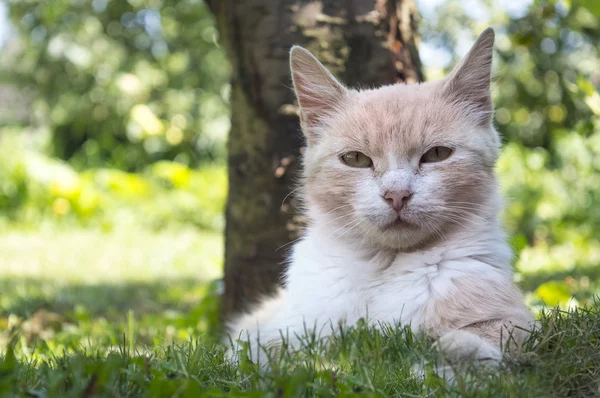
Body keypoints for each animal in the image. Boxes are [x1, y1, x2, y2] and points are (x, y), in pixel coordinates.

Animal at [226, 28, 536, 374]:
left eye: (437, 154)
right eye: (355, 159)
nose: (396, 194)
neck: (382, 269)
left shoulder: (517, 320)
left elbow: (491, 334)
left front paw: (456, 354)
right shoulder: (284, 329)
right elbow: (264, 352)